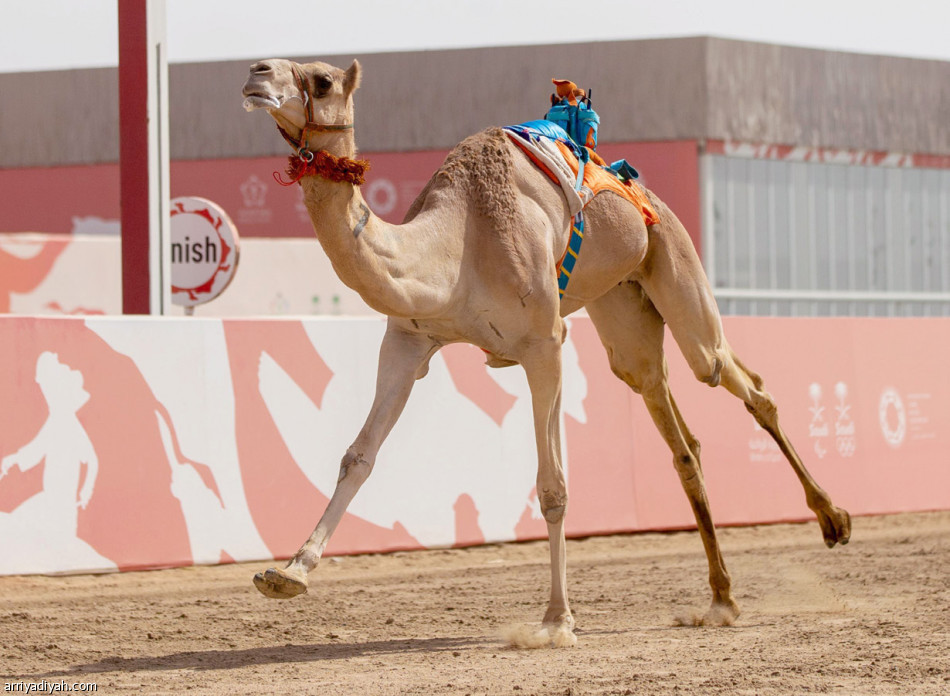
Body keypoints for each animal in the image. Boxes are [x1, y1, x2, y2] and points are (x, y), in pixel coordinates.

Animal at [242, 57, 852, 644]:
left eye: (321, 80)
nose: (255, 74)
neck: (455, 248)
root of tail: (638, 188)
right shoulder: (408, 341)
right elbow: (359, 455)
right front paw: (289, 571)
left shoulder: (544, 342)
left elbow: (553, 485)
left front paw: (557, 621)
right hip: (622, 308)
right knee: (671, 418)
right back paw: (722, 598)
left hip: (675, 267)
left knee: (730, 374)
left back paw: (834, 520)